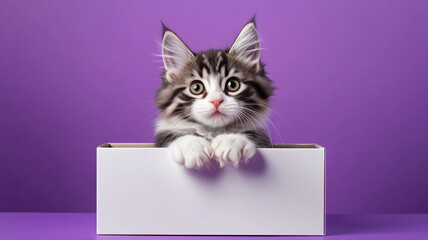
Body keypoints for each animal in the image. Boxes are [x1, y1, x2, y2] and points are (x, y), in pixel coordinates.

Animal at [155, 19, 274, 169]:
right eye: (196, 88)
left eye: (232, 85)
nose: (216, 101)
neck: (212, 132)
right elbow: (172, 135)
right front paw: (191, 146)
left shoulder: (266, 141)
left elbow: (254, 134)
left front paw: (231, 140)